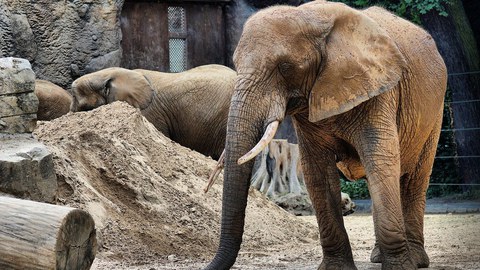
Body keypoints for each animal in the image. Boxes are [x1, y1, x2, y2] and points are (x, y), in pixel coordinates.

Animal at [205, 2, 446, 270]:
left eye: (285, 67)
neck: (311, 17)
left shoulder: (379, 92)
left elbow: (381, 161)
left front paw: (400, 267)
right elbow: (318, 172)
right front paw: (336, 268)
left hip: (434, 113)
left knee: (415, 178)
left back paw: (416, 260)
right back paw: (377, 257)